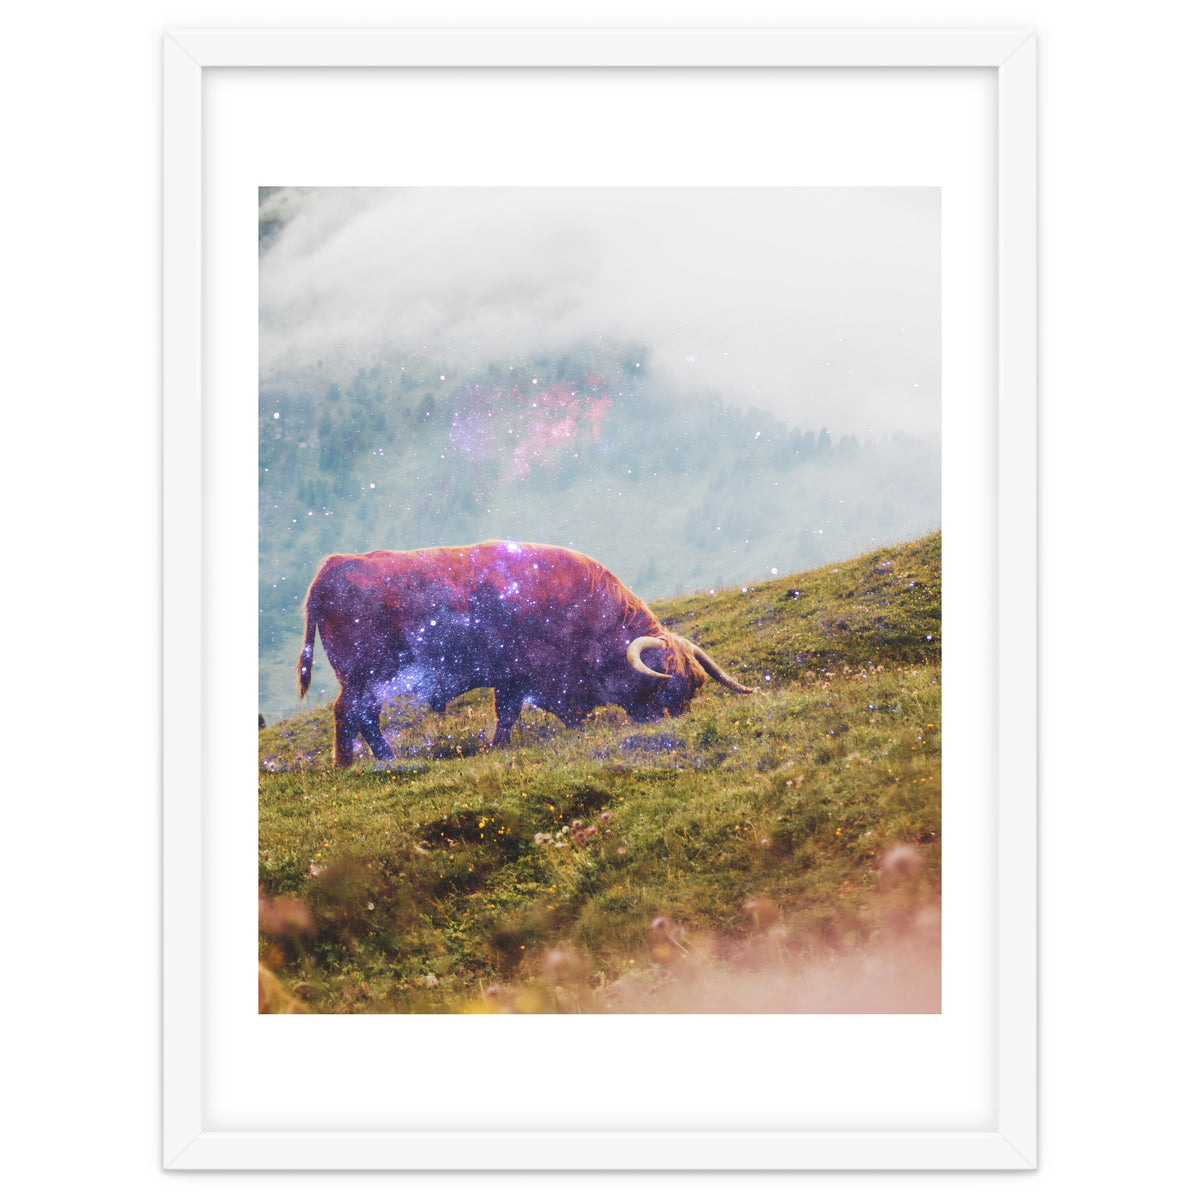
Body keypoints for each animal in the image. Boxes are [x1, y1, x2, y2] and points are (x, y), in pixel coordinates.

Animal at [297, 540, 757, 766]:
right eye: (668, 685)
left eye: (693, 686)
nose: (675, 723)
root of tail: (333, 567)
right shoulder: (523, 674)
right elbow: (511, 714)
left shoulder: (516, 680)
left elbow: (512, 713)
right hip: (365, 676)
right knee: (354, 715)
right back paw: (370, 761)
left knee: (357, 716)